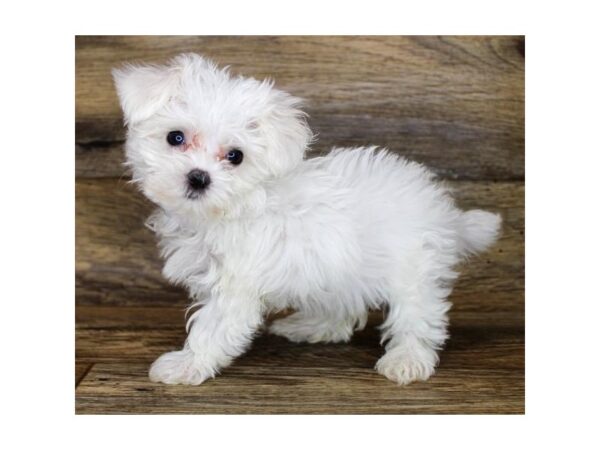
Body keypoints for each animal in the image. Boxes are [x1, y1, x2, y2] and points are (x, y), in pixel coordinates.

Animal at [112, 51, 502, 384]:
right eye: (175, 137)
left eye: (235, 156)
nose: (198, 177)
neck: (234, 207)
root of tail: (444, 212)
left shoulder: (235, 285)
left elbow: (213, 326)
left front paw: (186, 365)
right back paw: (312, 327)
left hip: (412, 268)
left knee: (418, 315)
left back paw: (408, 359)